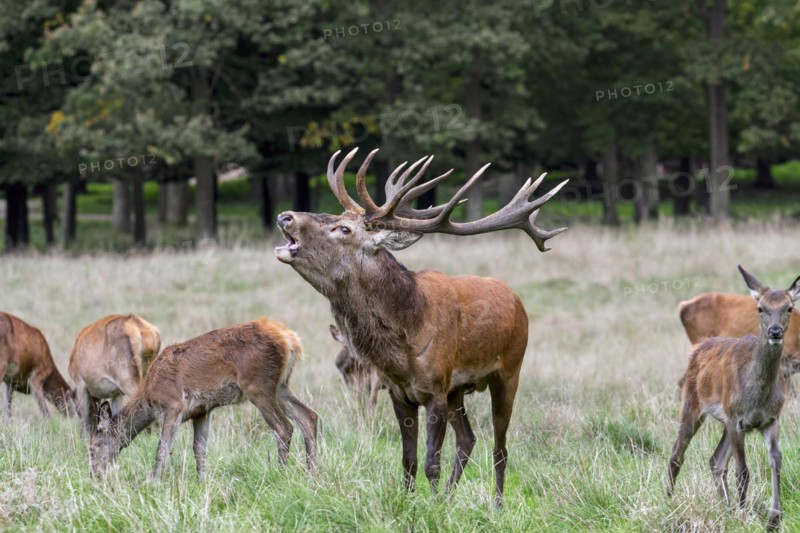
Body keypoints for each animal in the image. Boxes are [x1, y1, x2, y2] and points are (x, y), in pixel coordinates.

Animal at [89, 319, 317, 480]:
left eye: (92, 447)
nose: (94, 475)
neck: (149, 399)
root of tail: (290, 340)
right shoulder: (202, 410)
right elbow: (199, 449)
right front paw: (201, 481)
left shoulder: (174, 404)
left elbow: (162, 449)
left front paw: (153, 482)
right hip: (280, 386)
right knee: (309, 416)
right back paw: (311, 474)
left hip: (258, 385)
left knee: (284, 427)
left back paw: (281, 474)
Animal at [275, 147, 567, 506]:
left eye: (343, 229)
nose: (286, 216)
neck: (402, 348)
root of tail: (517, 300)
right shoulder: (400, 393)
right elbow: (409, 459)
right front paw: (414, 500)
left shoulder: (435, 389)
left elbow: (432, 462)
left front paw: (432, 507)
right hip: (459, 390)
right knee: (468, 439)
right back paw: (451, 497)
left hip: (509, 371)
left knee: (500, 449)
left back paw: (496, 505)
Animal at [667, 266, 800, 531]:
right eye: (760, 308)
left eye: (789, 307)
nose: (775, 332)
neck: (757, 397)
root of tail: (700, 347)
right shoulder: (737, 419)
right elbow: (743, 470)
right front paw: (743, 516)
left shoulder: (771, 419)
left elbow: (776, 461)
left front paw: (774, 518)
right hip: (694, 405)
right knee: (677, 454)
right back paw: (669, 502)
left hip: (726, 421)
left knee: (716, 461)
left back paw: (725, 509)